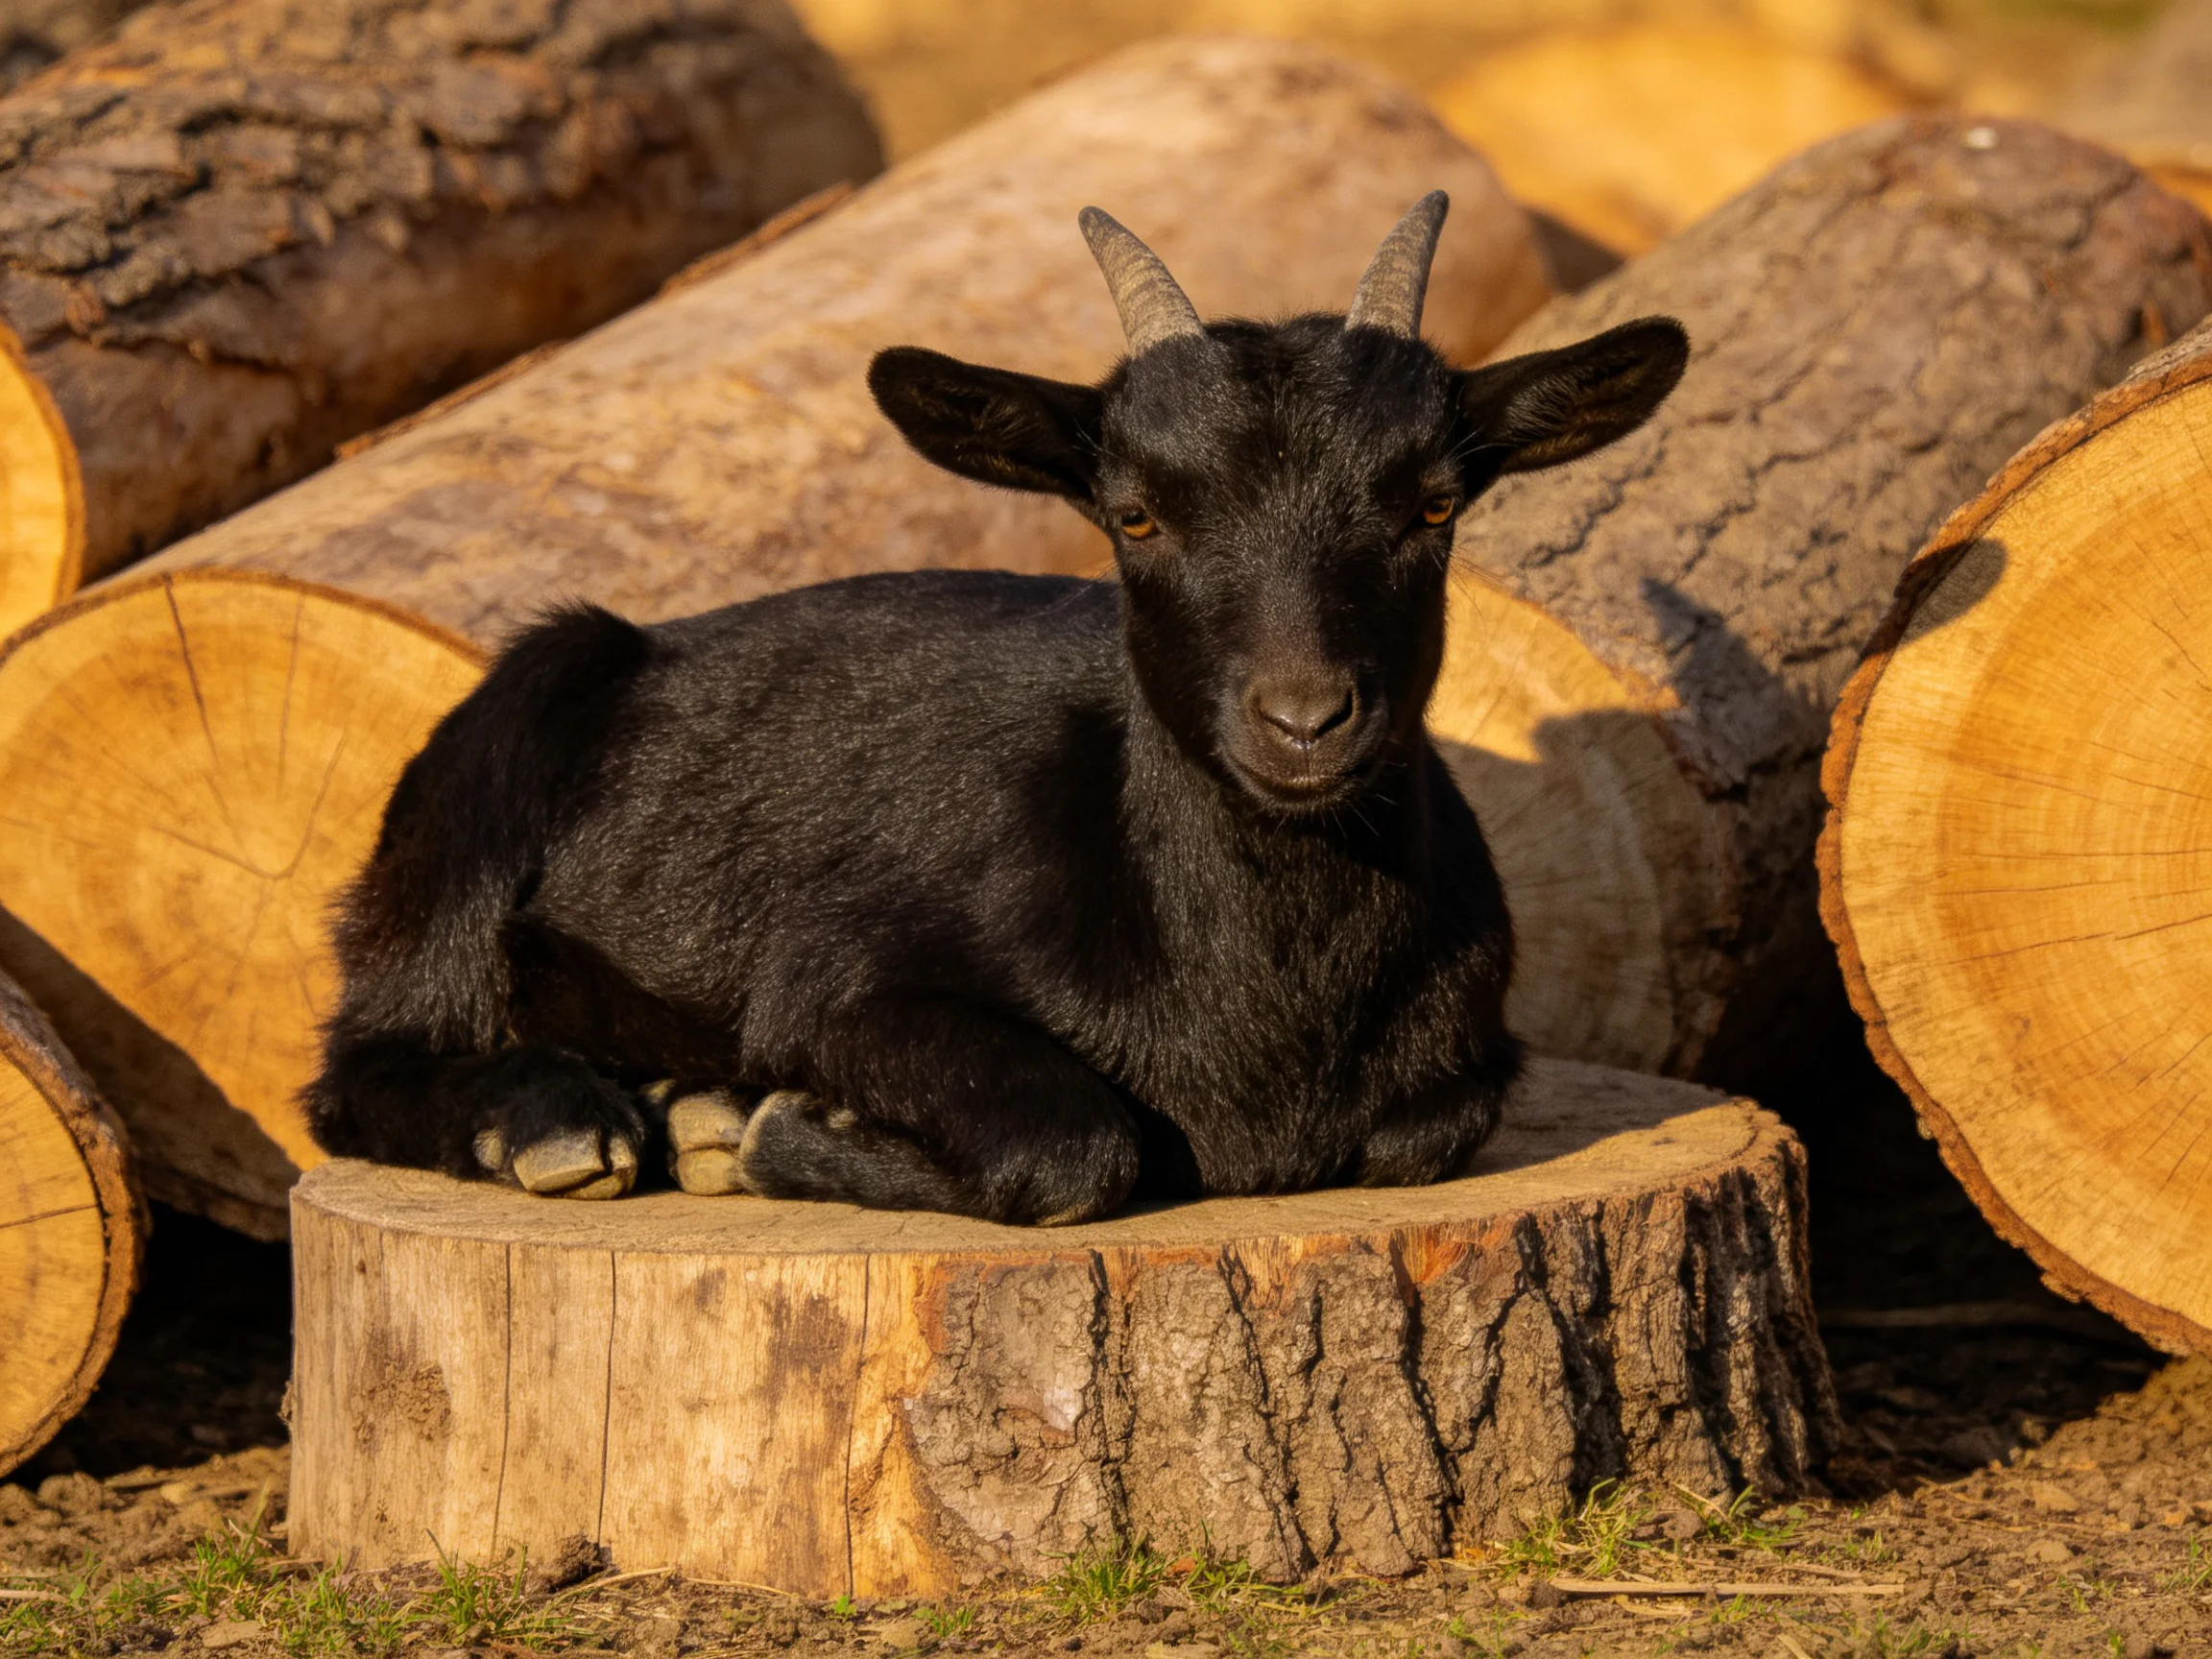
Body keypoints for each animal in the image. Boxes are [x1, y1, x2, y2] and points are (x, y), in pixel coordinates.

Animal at [305, 194, 1688, 1223]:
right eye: (1135, 513)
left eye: (1435, 504)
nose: (1303, 721)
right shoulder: (838, 987)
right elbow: (1072, 1147)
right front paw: (766, 1128)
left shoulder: (1464, 1058)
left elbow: (1424, 1129)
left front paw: (728, 1121)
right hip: (486, 780)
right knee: (358, 1064)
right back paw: (562, 1124)